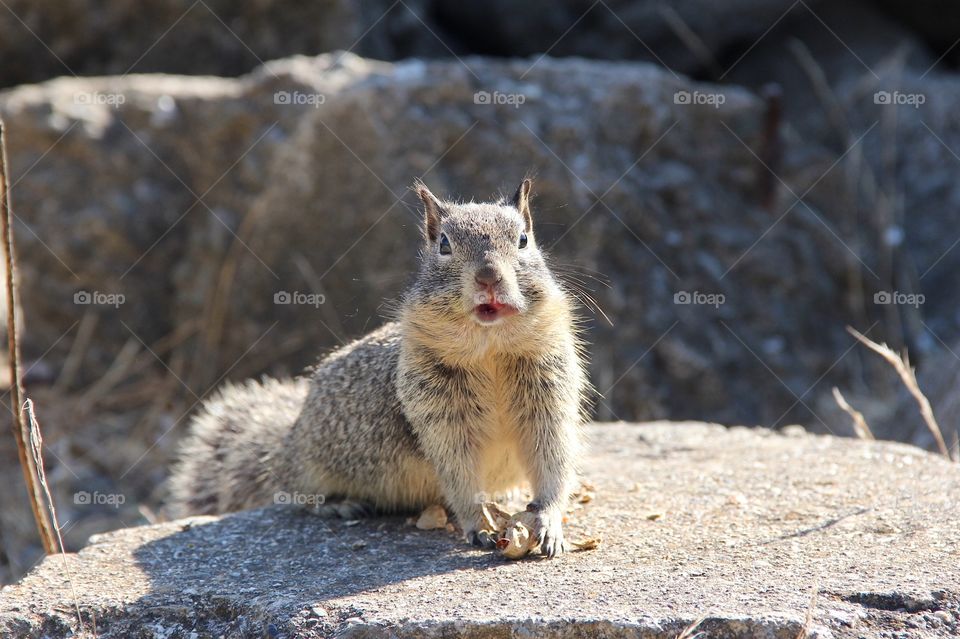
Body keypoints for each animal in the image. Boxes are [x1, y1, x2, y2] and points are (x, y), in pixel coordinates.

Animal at [166, 178, 590, 556]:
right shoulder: (442, 417)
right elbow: (458, 473)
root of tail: (289, 433)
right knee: (292, 492)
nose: (488, 276)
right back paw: (338, 504)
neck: (490, 352)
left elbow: (553, 461)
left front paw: (548, 521)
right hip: (307, 467)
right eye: (444, 244)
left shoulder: (549, 395)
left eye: (523, 240)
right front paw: (478, 523)